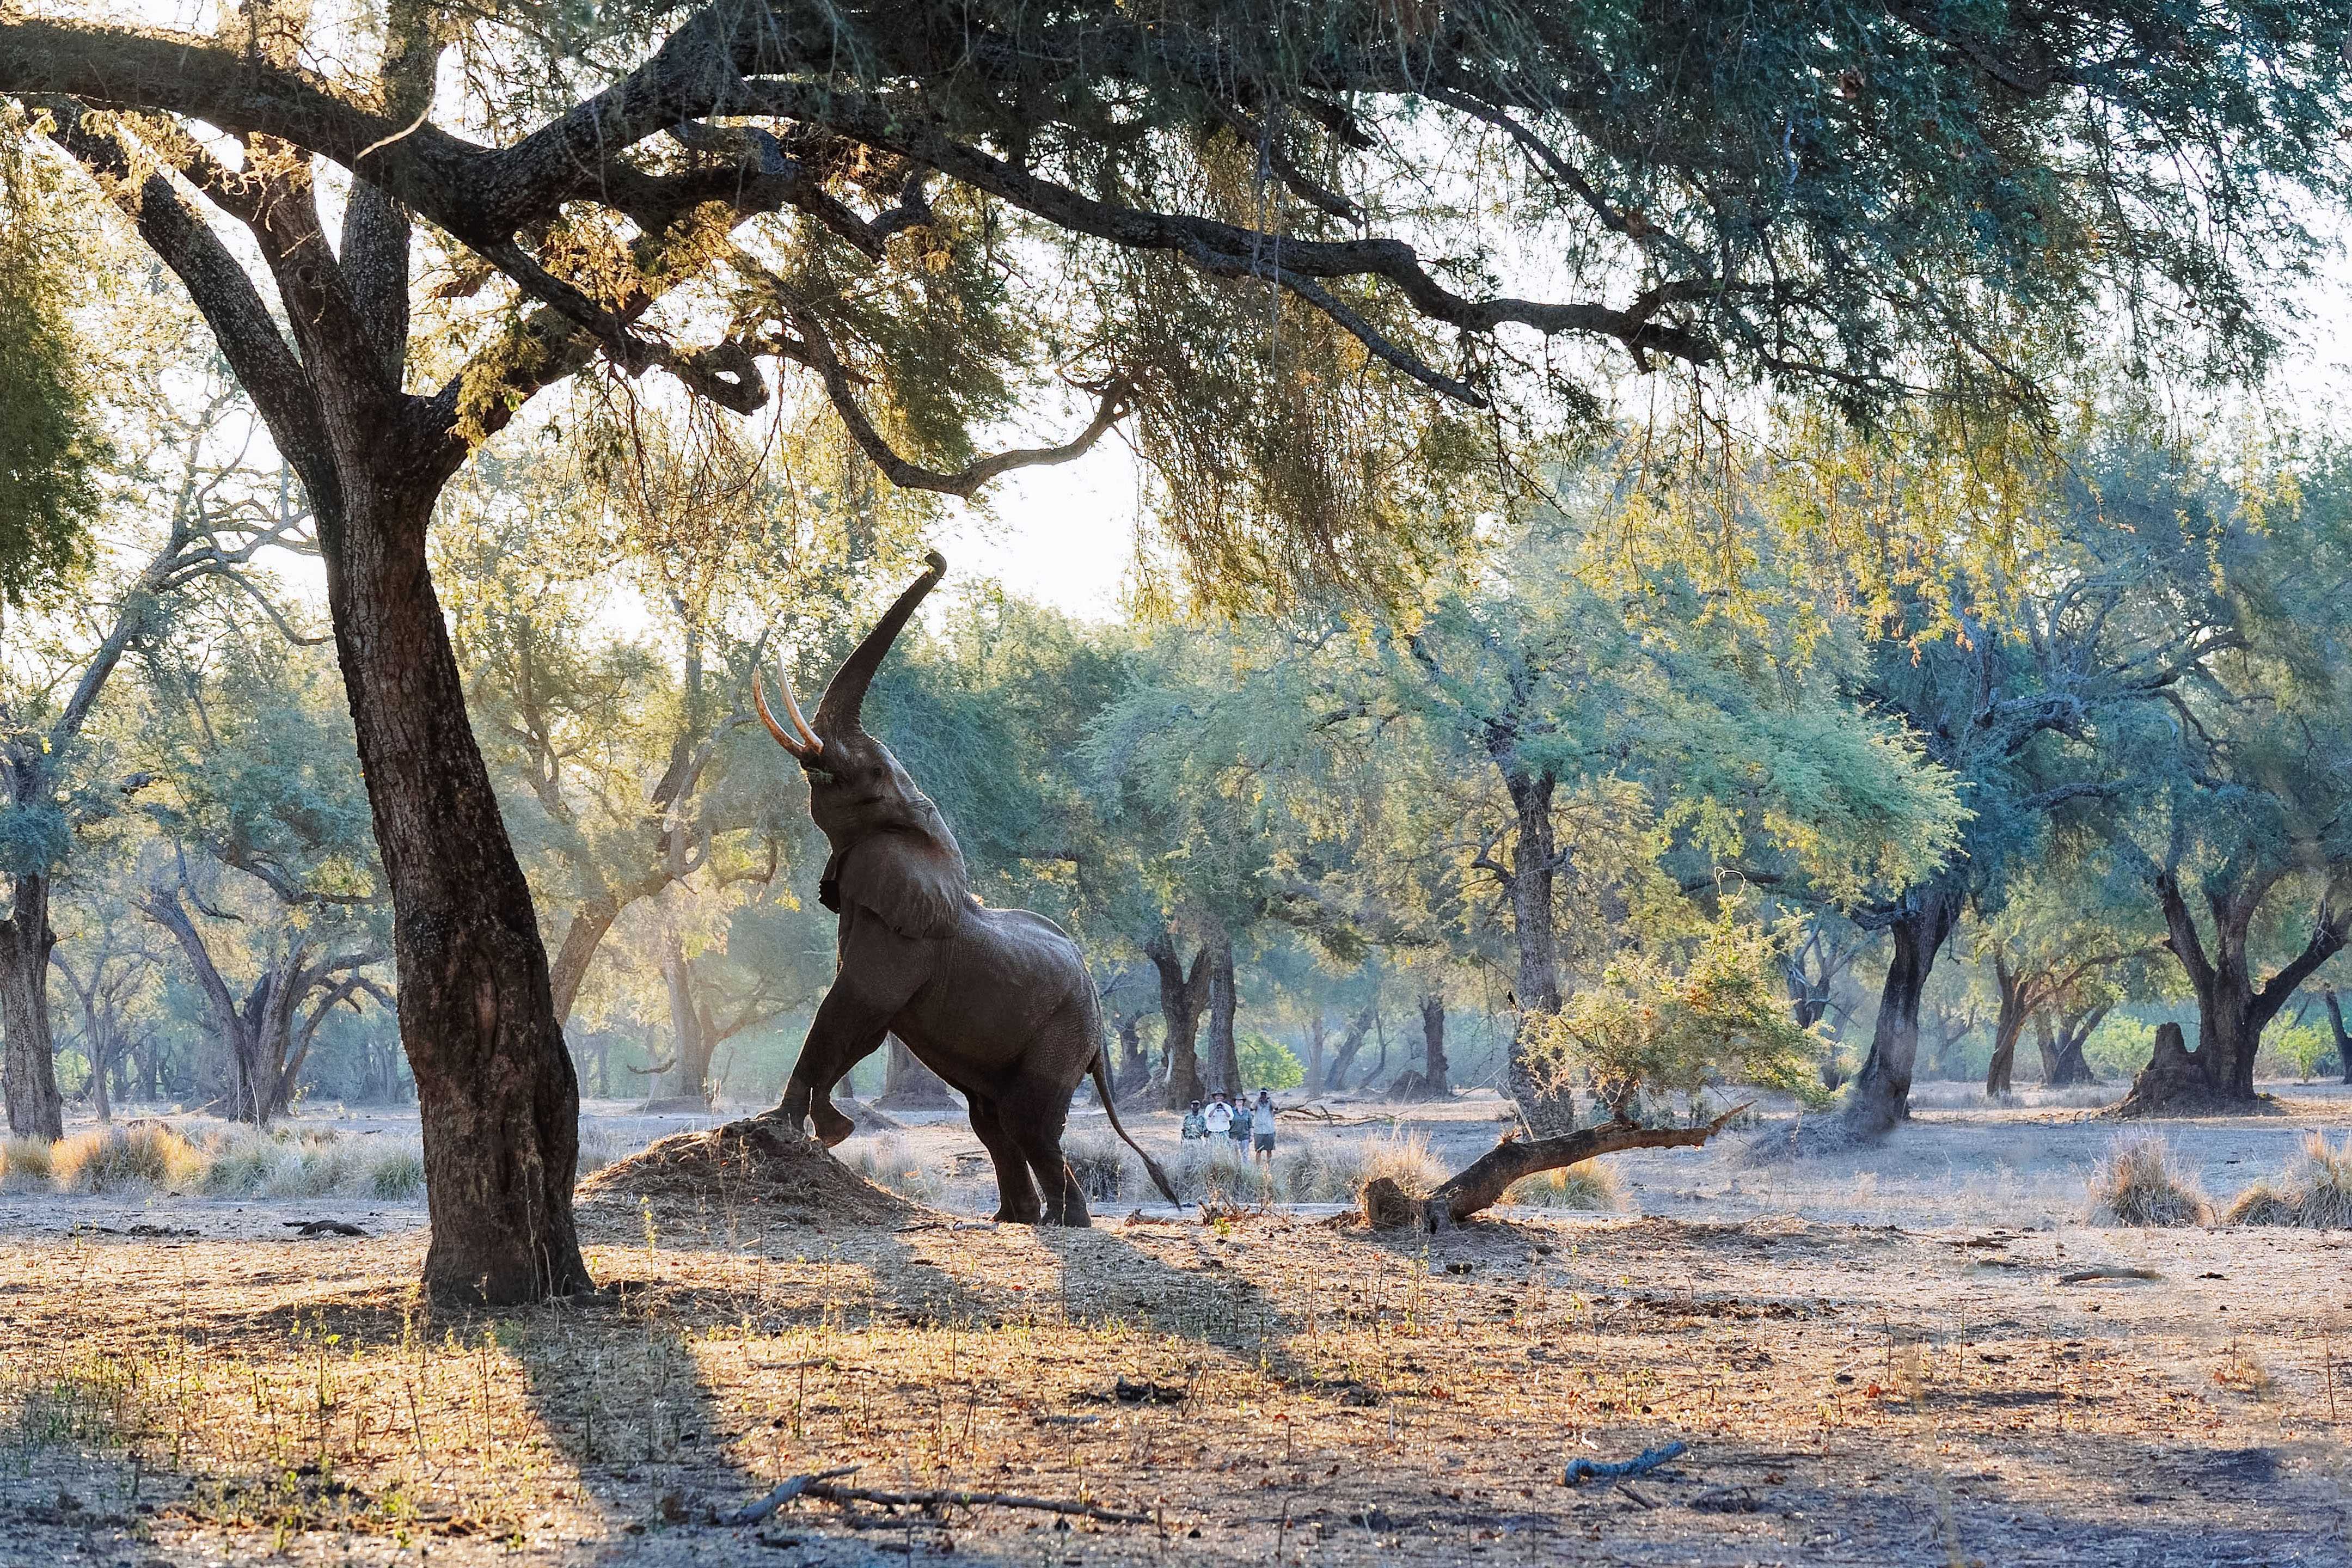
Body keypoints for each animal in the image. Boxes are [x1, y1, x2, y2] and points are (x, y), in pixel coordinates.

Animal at [755, 550, 1178, 1224]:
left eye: (872, 774)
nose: (933, 556)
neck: (925, 827)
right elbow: (861, 1022)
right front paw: (819, 1129)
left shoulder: (905, 941)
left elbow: (857, 1007)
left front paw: (788, 1126)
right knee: (993, 1119)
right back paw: (1016, 1220)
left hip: (1065, 1029)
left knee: (1029, 1119)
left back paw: (1062, 1223)